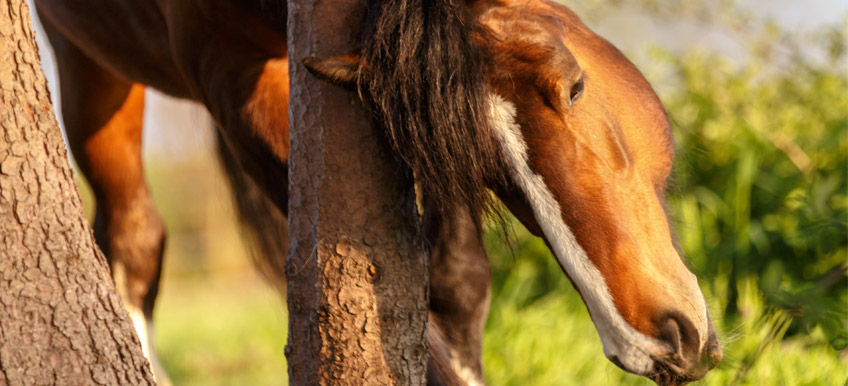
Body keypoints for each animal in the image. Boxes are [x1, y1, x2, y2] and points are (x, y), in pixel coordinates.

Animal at [34, 0, 724, 384]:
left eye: (575, 87)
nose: (655, 343)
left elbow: (455, 284)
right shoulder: (229, 82)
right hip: (86, 62)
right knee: (133, 240)